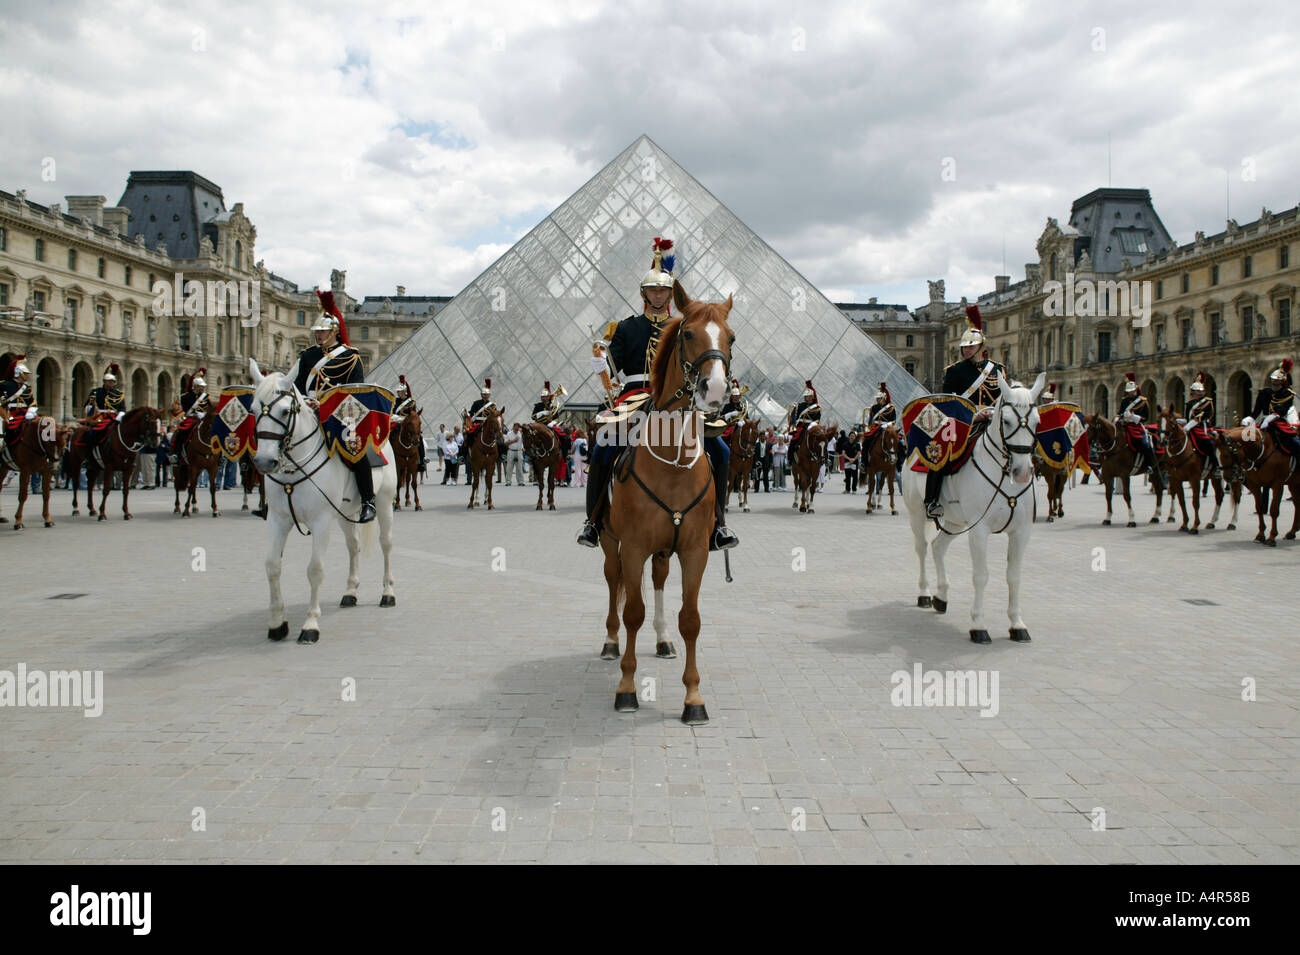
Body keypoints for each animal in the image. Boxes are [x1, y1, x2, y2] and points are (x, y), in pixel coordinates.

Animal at [248, 361, 395, 647]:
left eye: (285, 411)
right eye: (254, 410)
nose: (264, 462)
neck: (293, 469)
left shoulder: (321, 521)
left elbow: (315, 569)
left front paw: (310, 625)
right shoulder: (278, 519)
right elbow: (272, 566)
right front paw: (277, 623)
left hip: (384, 503)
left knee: (386, 544)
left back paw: (388, 592)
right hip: (346, 512)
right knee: (353, 546)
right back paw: (350, 592)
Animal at [598, 280, 733, 727]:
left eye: (731, 337)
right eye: (688, 334)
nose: (716, 392)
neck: (672, 458)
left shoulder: (694, 551)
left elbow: (690, 619)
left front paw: (693, 698)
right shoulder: (634, 546)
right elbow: (632, 613)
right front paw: (626, 689)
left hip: (662, 549)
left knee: (657, 582)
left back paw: (661, 640)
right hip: (610, 542)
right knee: (613, 585)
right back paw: (610, 642)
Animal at [909, 371, 1050, 641]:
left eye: (1038, 422)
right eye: (1005, 421)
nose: (1023, 472)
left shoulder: (1021, 532)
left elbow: (1014, 577)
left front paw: (1017, 624)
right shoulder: (979, 530)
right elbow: (981, 576)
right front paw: (978, 625)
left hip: (955, 520)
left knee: (938, 546)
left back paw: (941, 597)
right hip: (917, 513)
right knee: (922, 549)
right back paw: (924, 593)